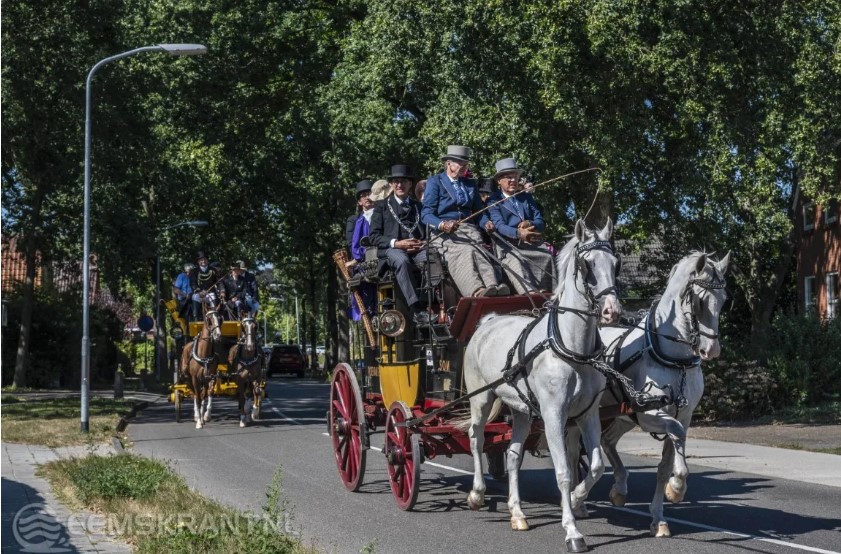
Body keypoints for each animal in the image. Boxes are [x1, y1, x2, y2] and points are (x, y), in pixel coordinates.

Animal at [179, 292, 223, 430]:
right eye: (209, 319)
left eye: (220, 318)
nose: (218, 336)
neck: (204, 355)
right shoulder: (194, 379)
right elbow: (198, 397)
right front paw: (199, 421)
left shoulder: (209, 377)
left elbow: (207, 394)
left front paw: (205, 417)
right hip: (187, 378)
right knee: (194, 394)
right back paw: (196, 416)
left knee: (202, 394)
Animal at [462, 218, 620, 548]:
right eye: (586, 264)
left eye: (616, 263)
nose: (612, 311)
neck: (571, 349)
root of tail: (488, 320)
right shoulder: (553, 415)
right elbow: (562, 471)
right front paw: (572, 530)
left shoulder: (588, 414)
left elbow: (596, 466)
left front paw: (577, 499)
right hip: (479, 399)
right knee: (476, 438)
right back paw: (477, 494)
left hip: (521, 409)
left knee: (512, 455)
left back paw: (517, 513)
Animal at [572, 250, 728, 536]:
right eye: (699, 301)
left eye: (723, 301)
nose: (711, 350)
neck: (674, 360)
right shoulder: (649, 413)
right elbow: (676, 436)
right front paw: (677, 488)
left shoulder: (683, 413)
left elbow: (666, 463)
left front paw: (659, 516)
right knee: (574, 449)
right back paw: (578, 499)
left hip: (621, 415)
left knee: (607, 440)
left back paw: (618, 490)